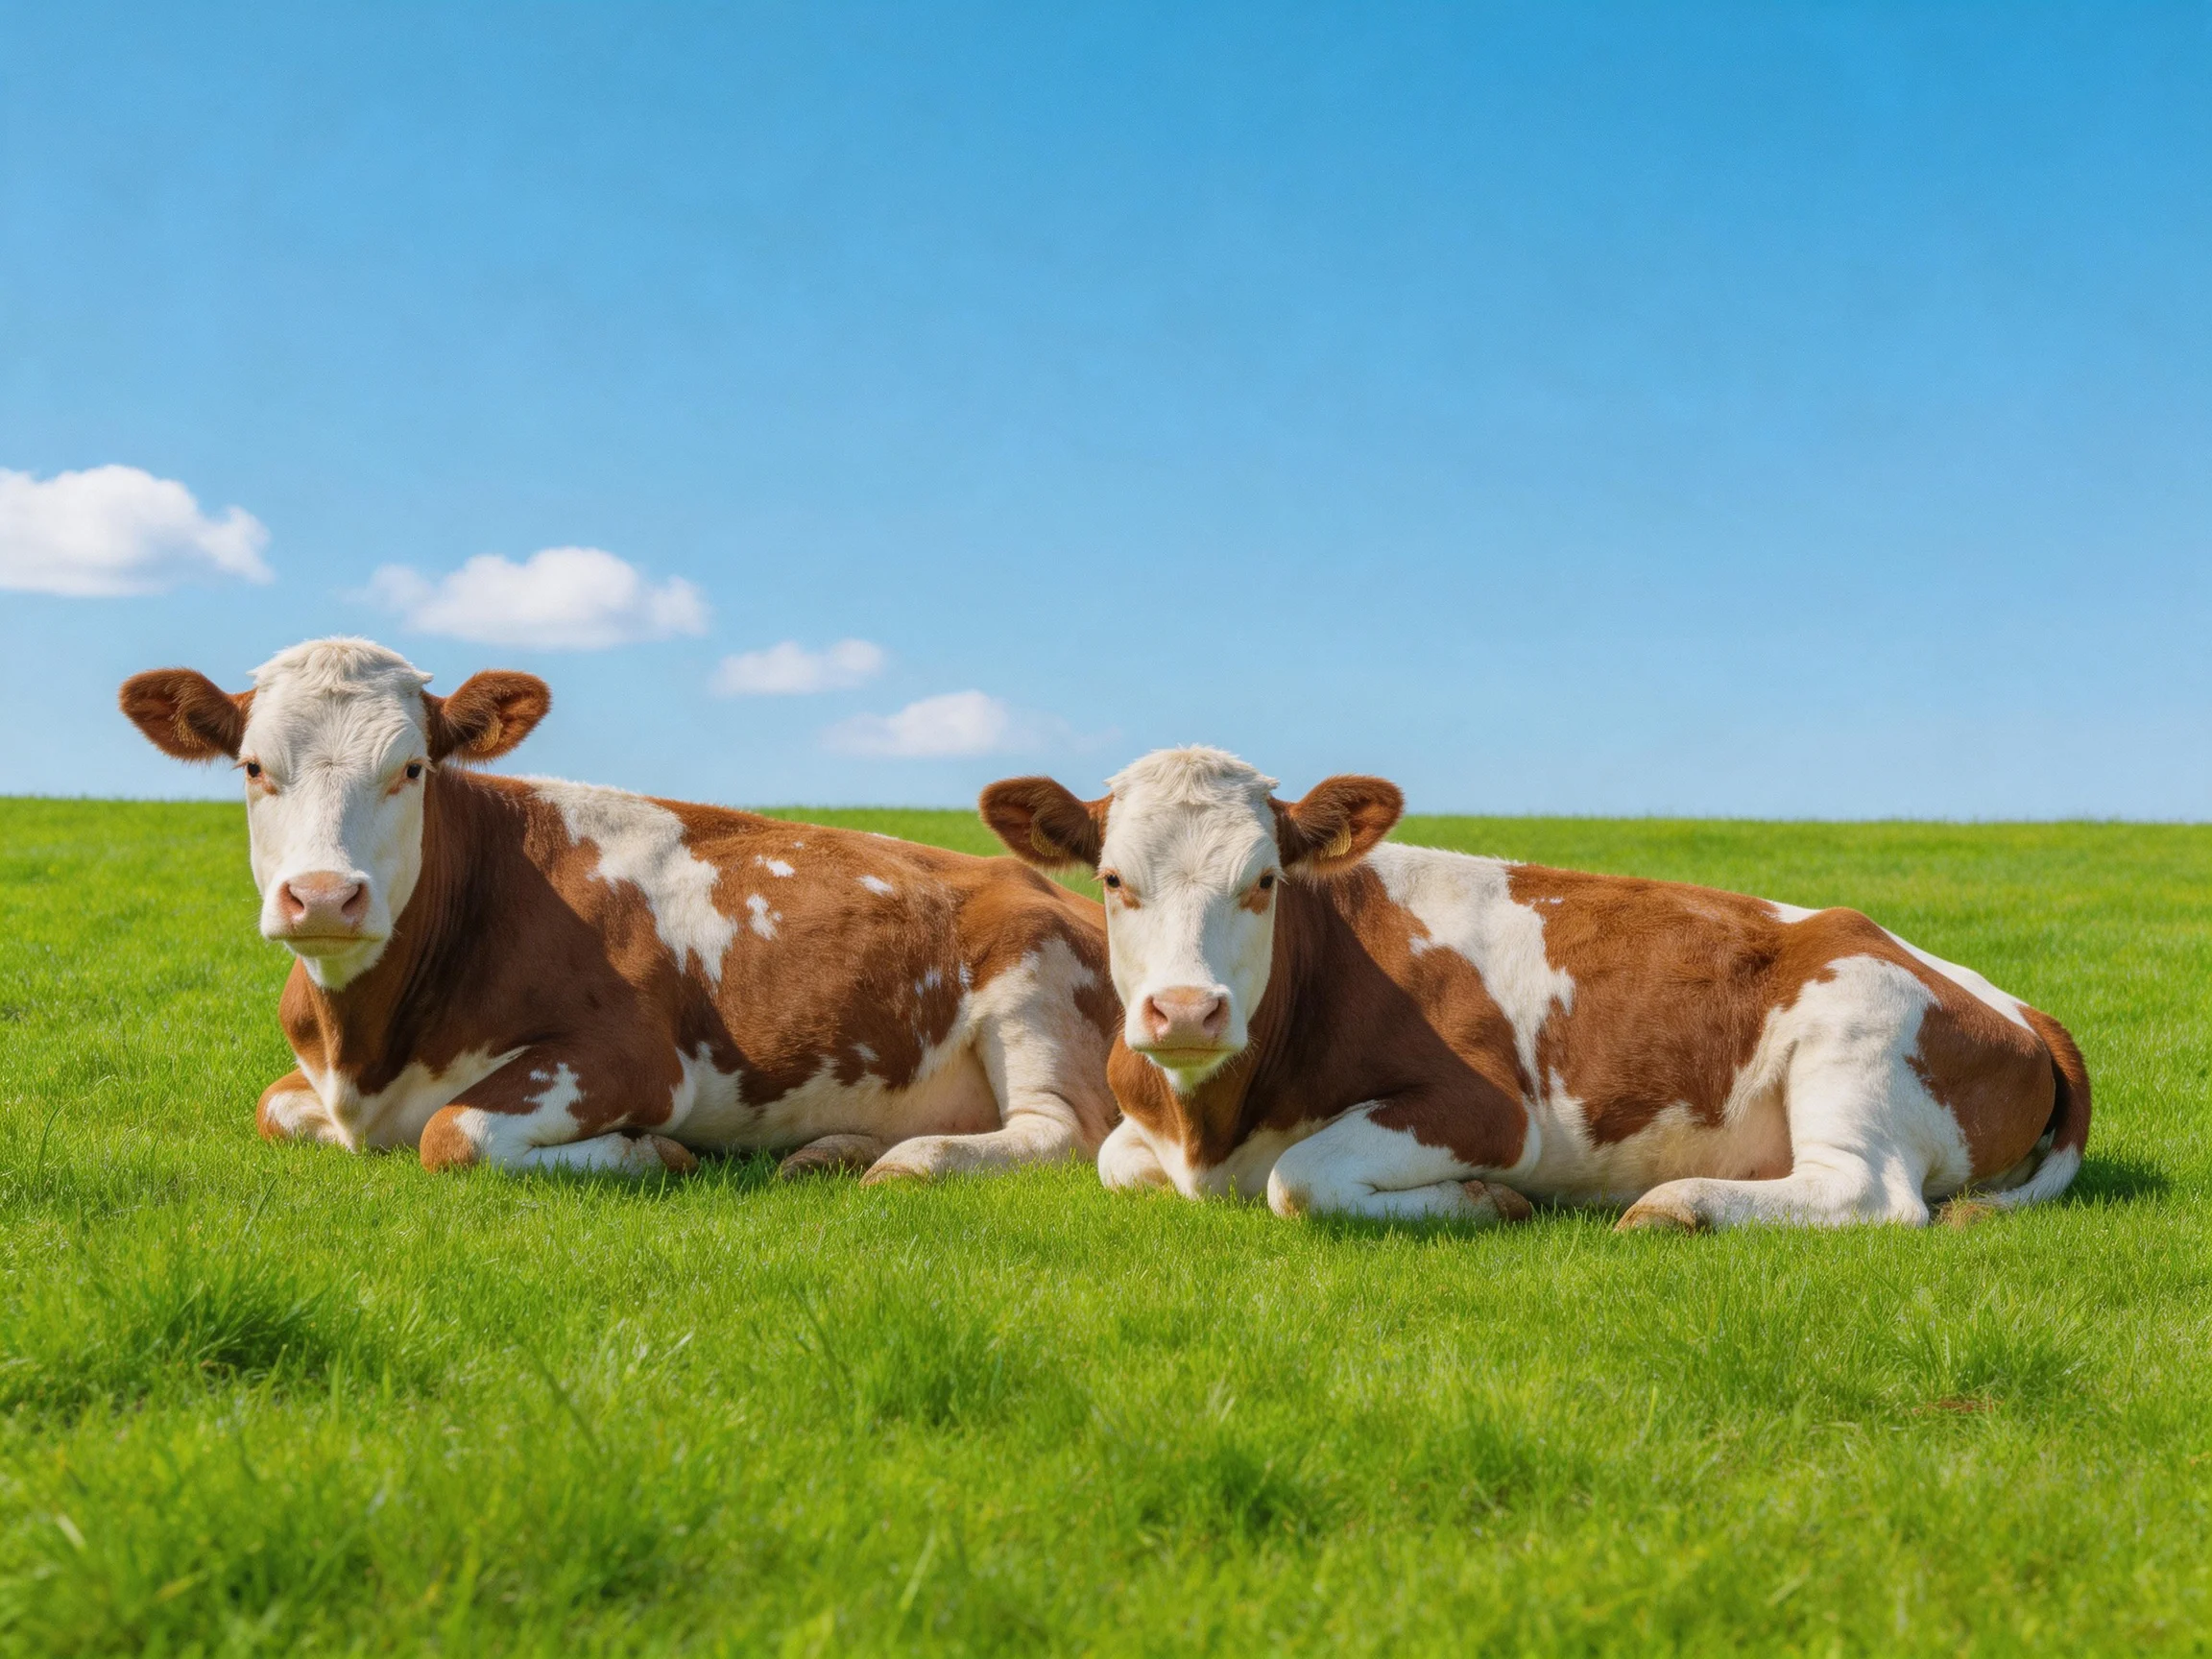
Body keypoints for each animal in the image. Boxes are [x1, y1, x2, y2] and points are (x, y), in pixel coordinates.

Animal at [119, 637, 1118, 1180]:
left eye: (411, 767)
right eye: (254, 767)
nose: (324, 895)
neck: (365, 1051)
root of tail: (1050, 883)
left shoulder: (636, 1059)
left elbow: (455, 1131)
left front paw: (655, 1154)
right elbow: (273, 1109)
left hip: (1034, 979)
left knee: (1058, 1133)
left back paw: (905, 1162)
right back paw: (829, 1152)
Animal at [980, 747, 2091, 1230]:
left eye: (1262, 880)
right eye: (1112, 880)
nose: (1185, 1010)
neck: (1209, 1126)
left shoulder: (1486, 1109)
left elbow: (1300, 1181)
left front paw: (1482, 1201)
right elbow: (1116, 1162)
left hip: (1853, 1031)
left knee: (1868, 1194)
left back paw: (1678, 1203)